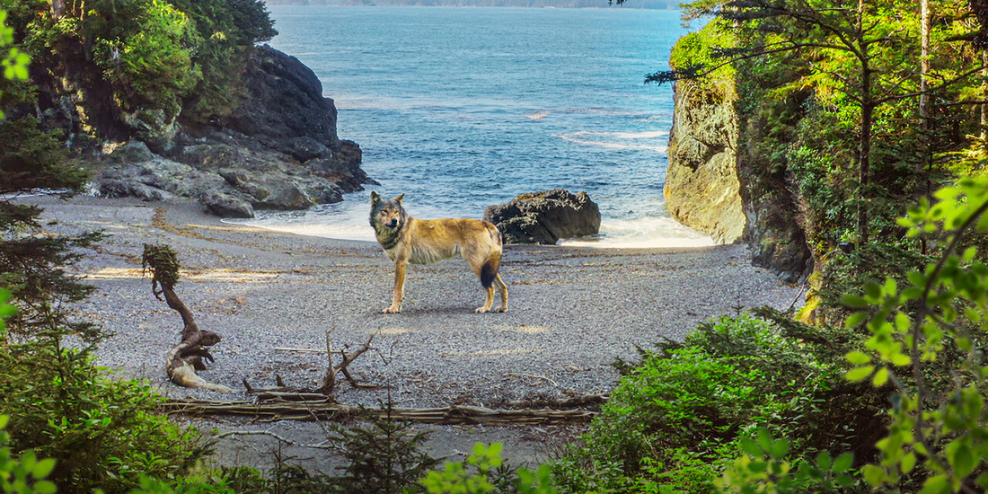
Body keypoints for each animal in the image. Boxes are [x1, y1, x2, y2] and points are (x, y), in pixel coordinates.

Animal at [370, 192, 510, 312]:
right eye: (385, 211)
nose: (395, 221)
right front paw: (398, 308)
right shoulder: (401, 265)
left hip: (478, 266)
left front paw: (393, 309)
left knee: (491, 288)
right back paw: (502, 308)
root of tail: (486, 223)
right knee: (502, 286)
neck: (399, 229)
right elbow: (401, 291)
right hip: (488, 269)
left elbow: (396, 290)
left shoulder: (400, 263)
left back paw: (485, 308)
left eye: (396, 212)